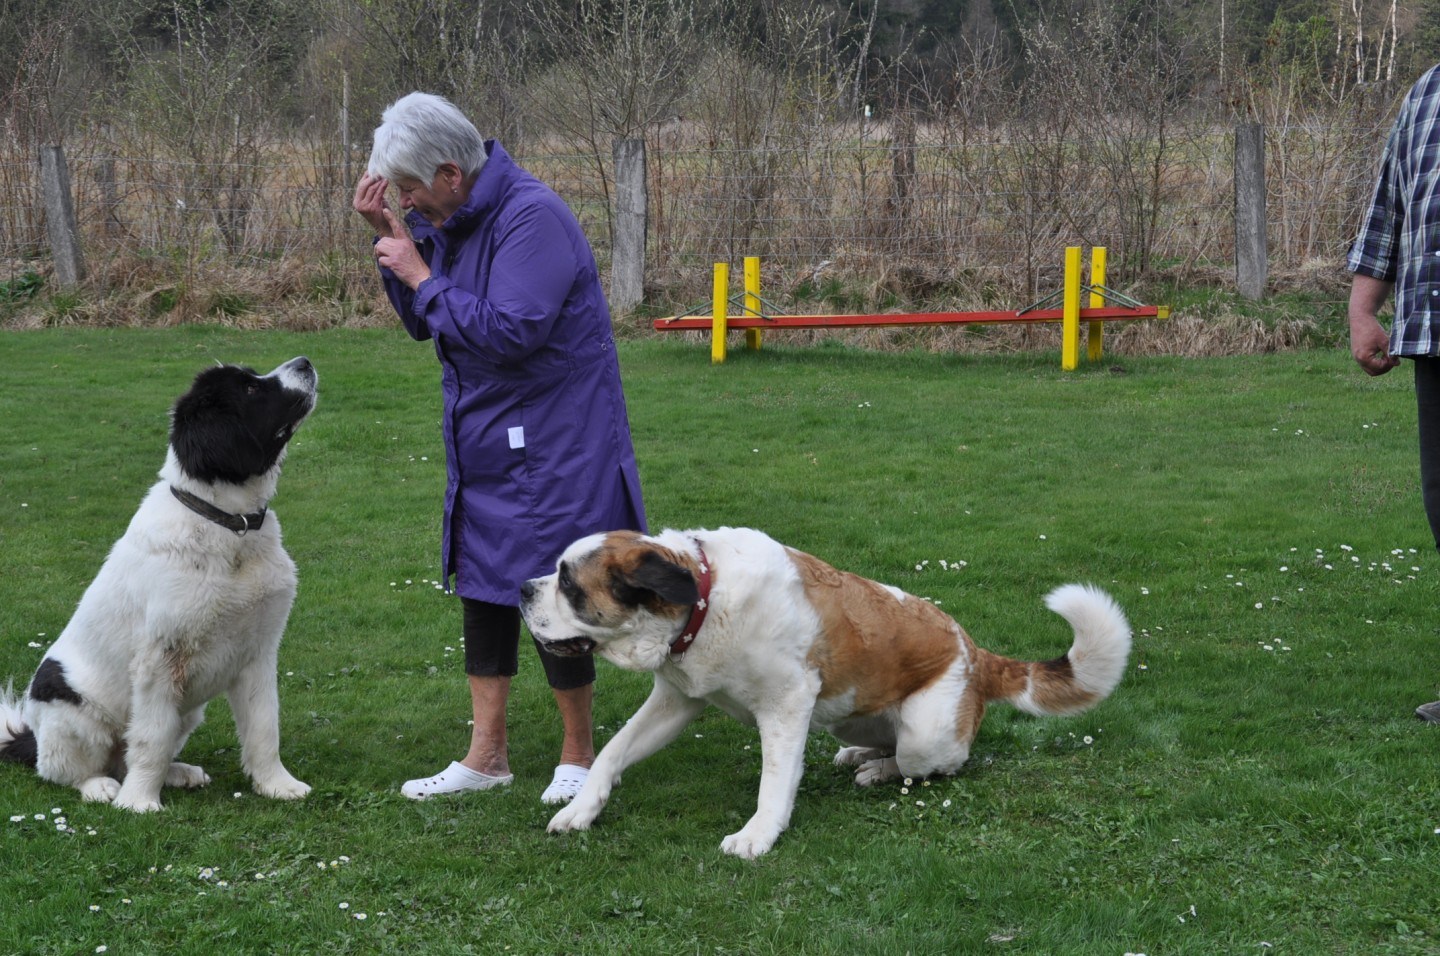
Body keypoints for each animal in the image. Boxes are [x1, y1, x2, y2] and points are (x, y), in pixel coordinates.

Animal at [2, 358, 318, 812]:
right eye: (250, 390)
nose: (304, 363)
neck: (229, 527)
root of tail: (29, 735)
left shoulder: (258, 652)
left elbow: (264, 727)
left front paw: (277, 785)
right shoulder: (160, 660)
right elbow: (150, 738)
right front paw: (138, 804)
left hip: (188, 711)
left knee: (132, 753)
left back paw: (178, 773)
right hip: (72, 709)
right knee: (64, 770)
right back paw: (101, 787)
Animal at [521, 526, 1134, 863]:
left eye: (569, 584)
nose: (523, 589)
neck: (705, 598)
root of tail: (976, 652)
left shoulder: (787, 704)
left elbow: (773, 782)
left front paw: (757, 836)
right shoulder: (677, 701)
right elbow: (611, 752)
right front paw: (580, 809)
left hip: (927, 733)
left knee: (938, 762)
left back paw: (880, 769)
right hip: (847, 713)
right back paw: (863, 754)